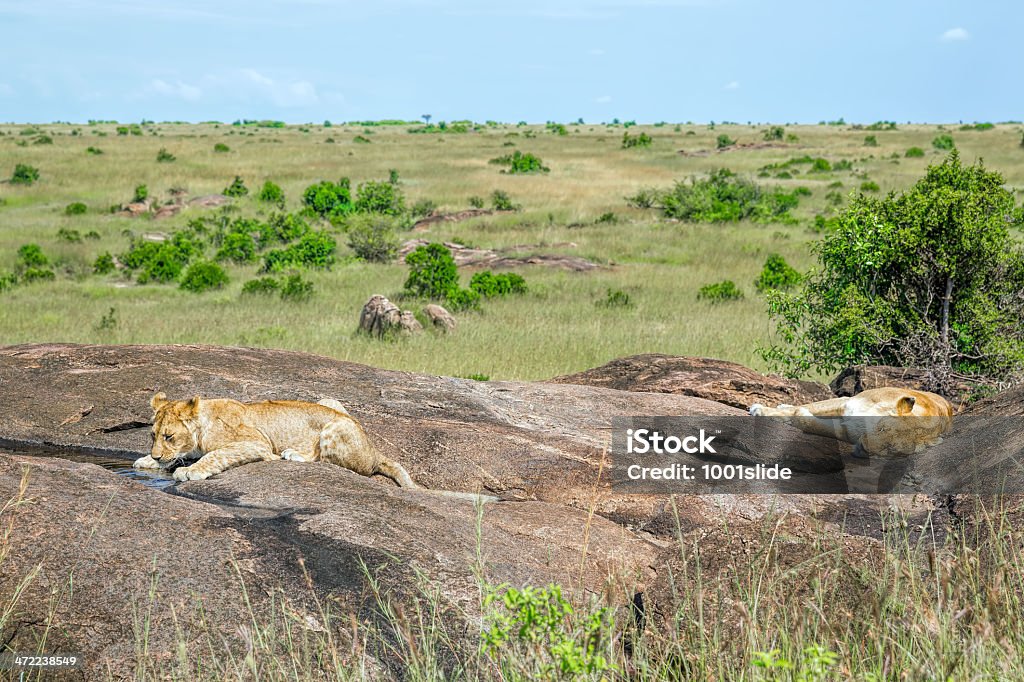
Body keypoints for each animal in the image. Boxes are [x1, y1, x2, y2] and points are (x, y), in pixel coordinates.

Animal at [133, 391, 495, 497]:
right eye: (153, 435)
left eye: (169, 436)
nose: (155, 453)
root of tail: (373, 448)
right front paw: (147, 462)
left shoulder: (256, 443)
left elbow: (216, 455)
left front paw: (189, 471)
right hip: (331, 402)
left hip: (334, 426)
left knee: (328, 461)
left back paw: (293, 454)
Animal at [749, 387, 954, 456]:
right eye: (882, 429)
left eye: (891, 450)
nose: (863, 449)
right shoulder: (847, 402)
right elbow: (809, 407)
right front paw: (760, 409)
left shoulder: (844, 429)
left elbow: (808, 422)